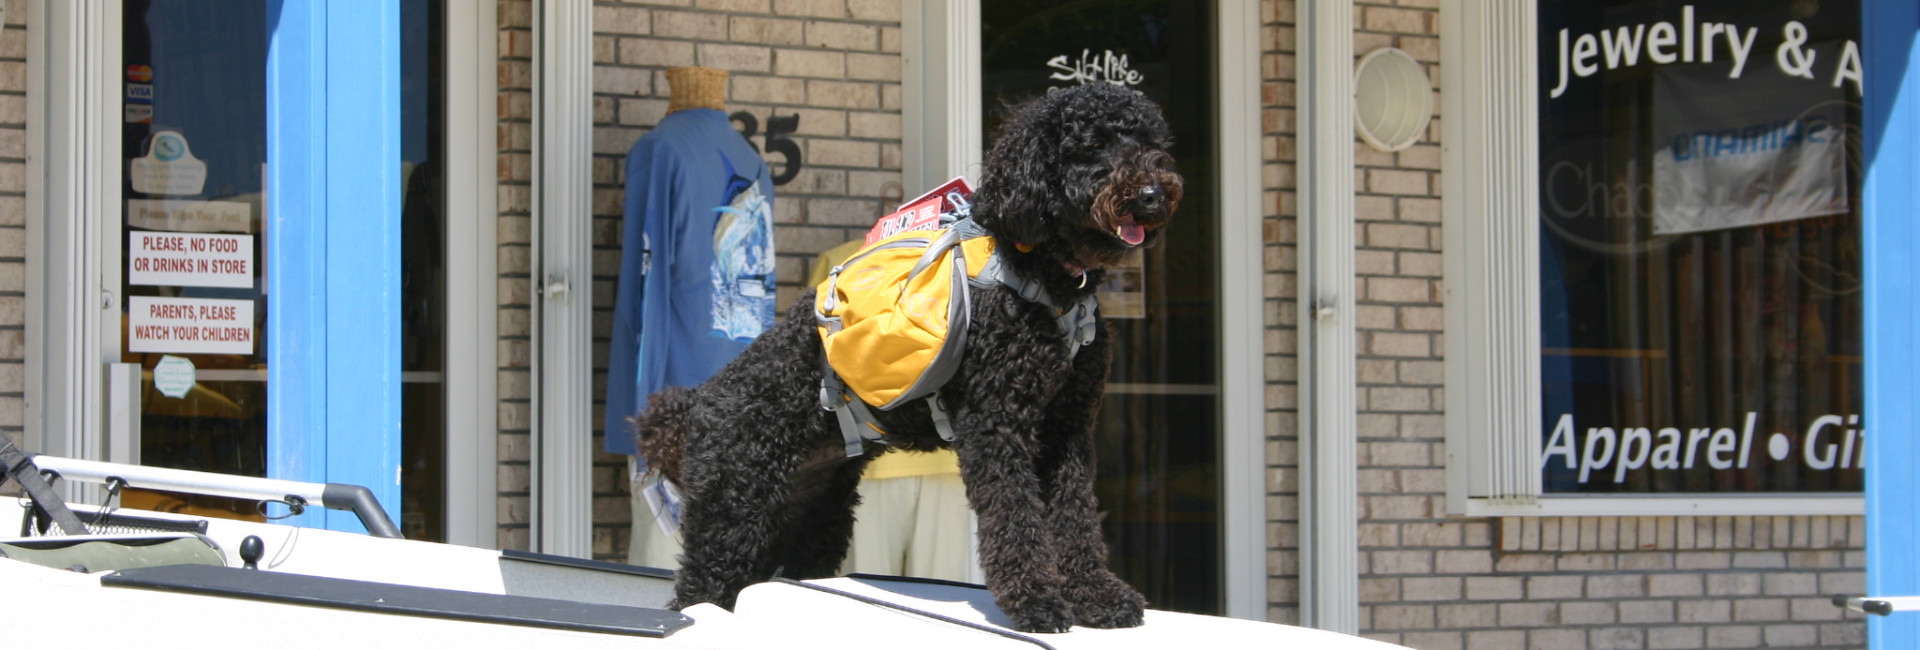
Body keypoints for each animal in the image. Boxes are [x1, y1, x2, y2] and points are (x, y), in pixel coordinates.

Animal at [637, 82, 1175, 636]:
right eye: (1091, 145)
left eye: (1149, 141)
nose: (1152, 194)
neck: (1045, 277)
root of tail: (696, 403)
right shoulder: (997, 425)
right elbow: (1015, 516)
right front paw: (1036, 600)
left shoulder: (1067, 426)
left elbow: (1075, 518)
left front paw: (1096, 595)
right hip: (731, 512)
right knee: (696, 594)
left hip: (811, 519)